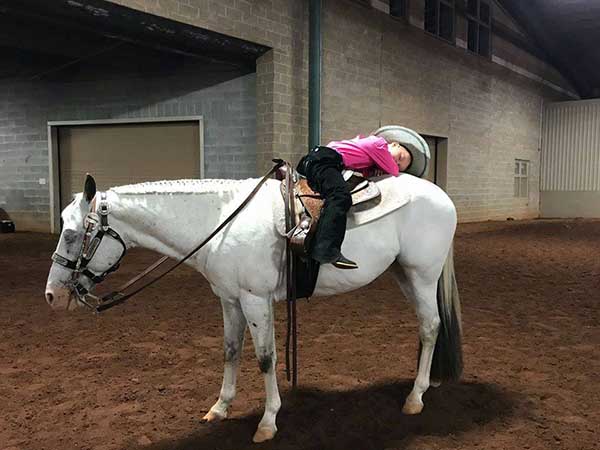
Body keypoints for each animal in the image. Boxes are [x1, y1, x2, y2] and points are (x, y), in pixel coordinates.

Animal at [44, 172, 462, 442]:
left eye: (72, 234)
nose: (52, 295)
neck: (220, 221)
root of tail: (442, 196)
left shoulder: (254, 299)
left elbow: (265, 358)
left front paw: (268, 422)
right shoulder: (230, 300)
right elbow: (231, 351)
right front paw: (219, 408)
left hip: (422, 274)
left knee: (429, 326)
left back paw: (415, 398)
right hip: (403, 274)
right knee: (428, 326)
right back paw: (427, 383)